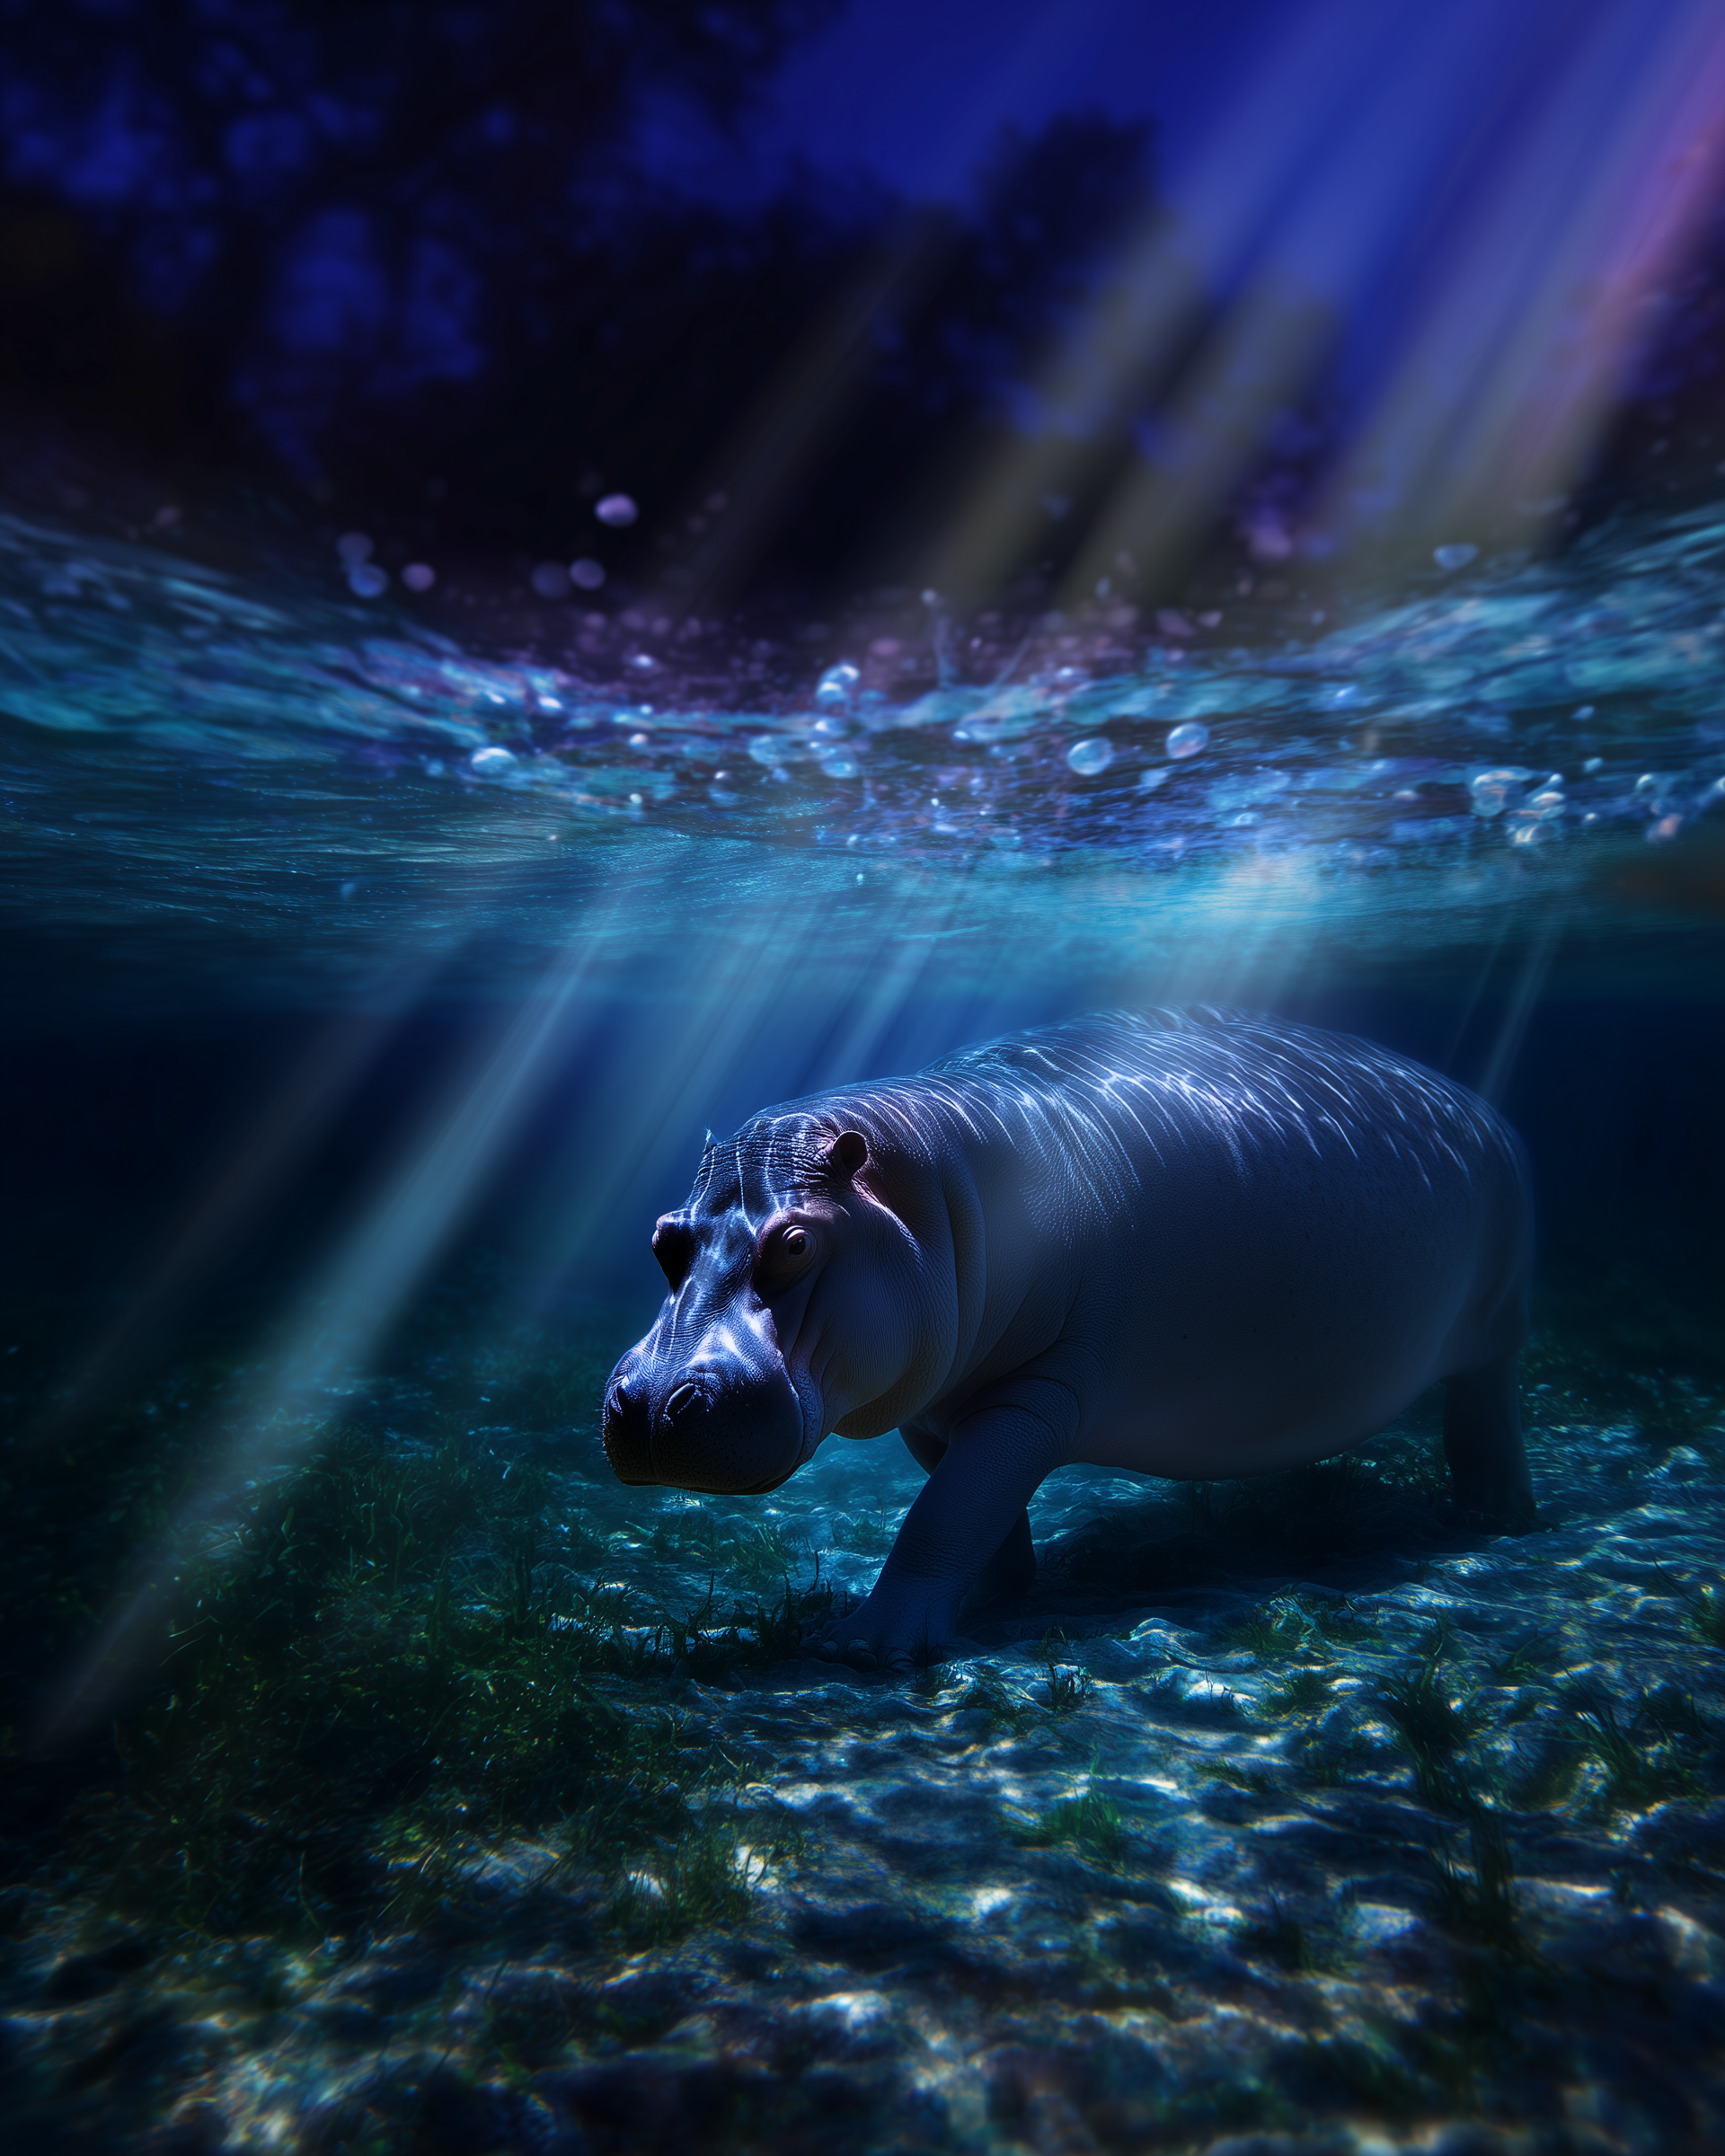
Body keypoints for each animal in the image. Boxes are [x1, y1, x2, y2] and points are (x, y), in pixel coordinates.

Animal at [602, 1008, 1535, 1671]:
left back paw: (1496, 1516)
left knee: (1487, 1403)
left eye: (796, 1243)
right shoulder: (938, 1409)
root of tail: (1484, 1107)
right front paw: (998, 1593)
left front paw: (865, 1646)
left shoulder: (1035, 1397)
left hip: (1496, 1314)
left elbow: (945, 1512)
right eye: (663, 1237)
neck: (932, 1195)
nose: (648, 1403)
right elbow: (974, 1504)